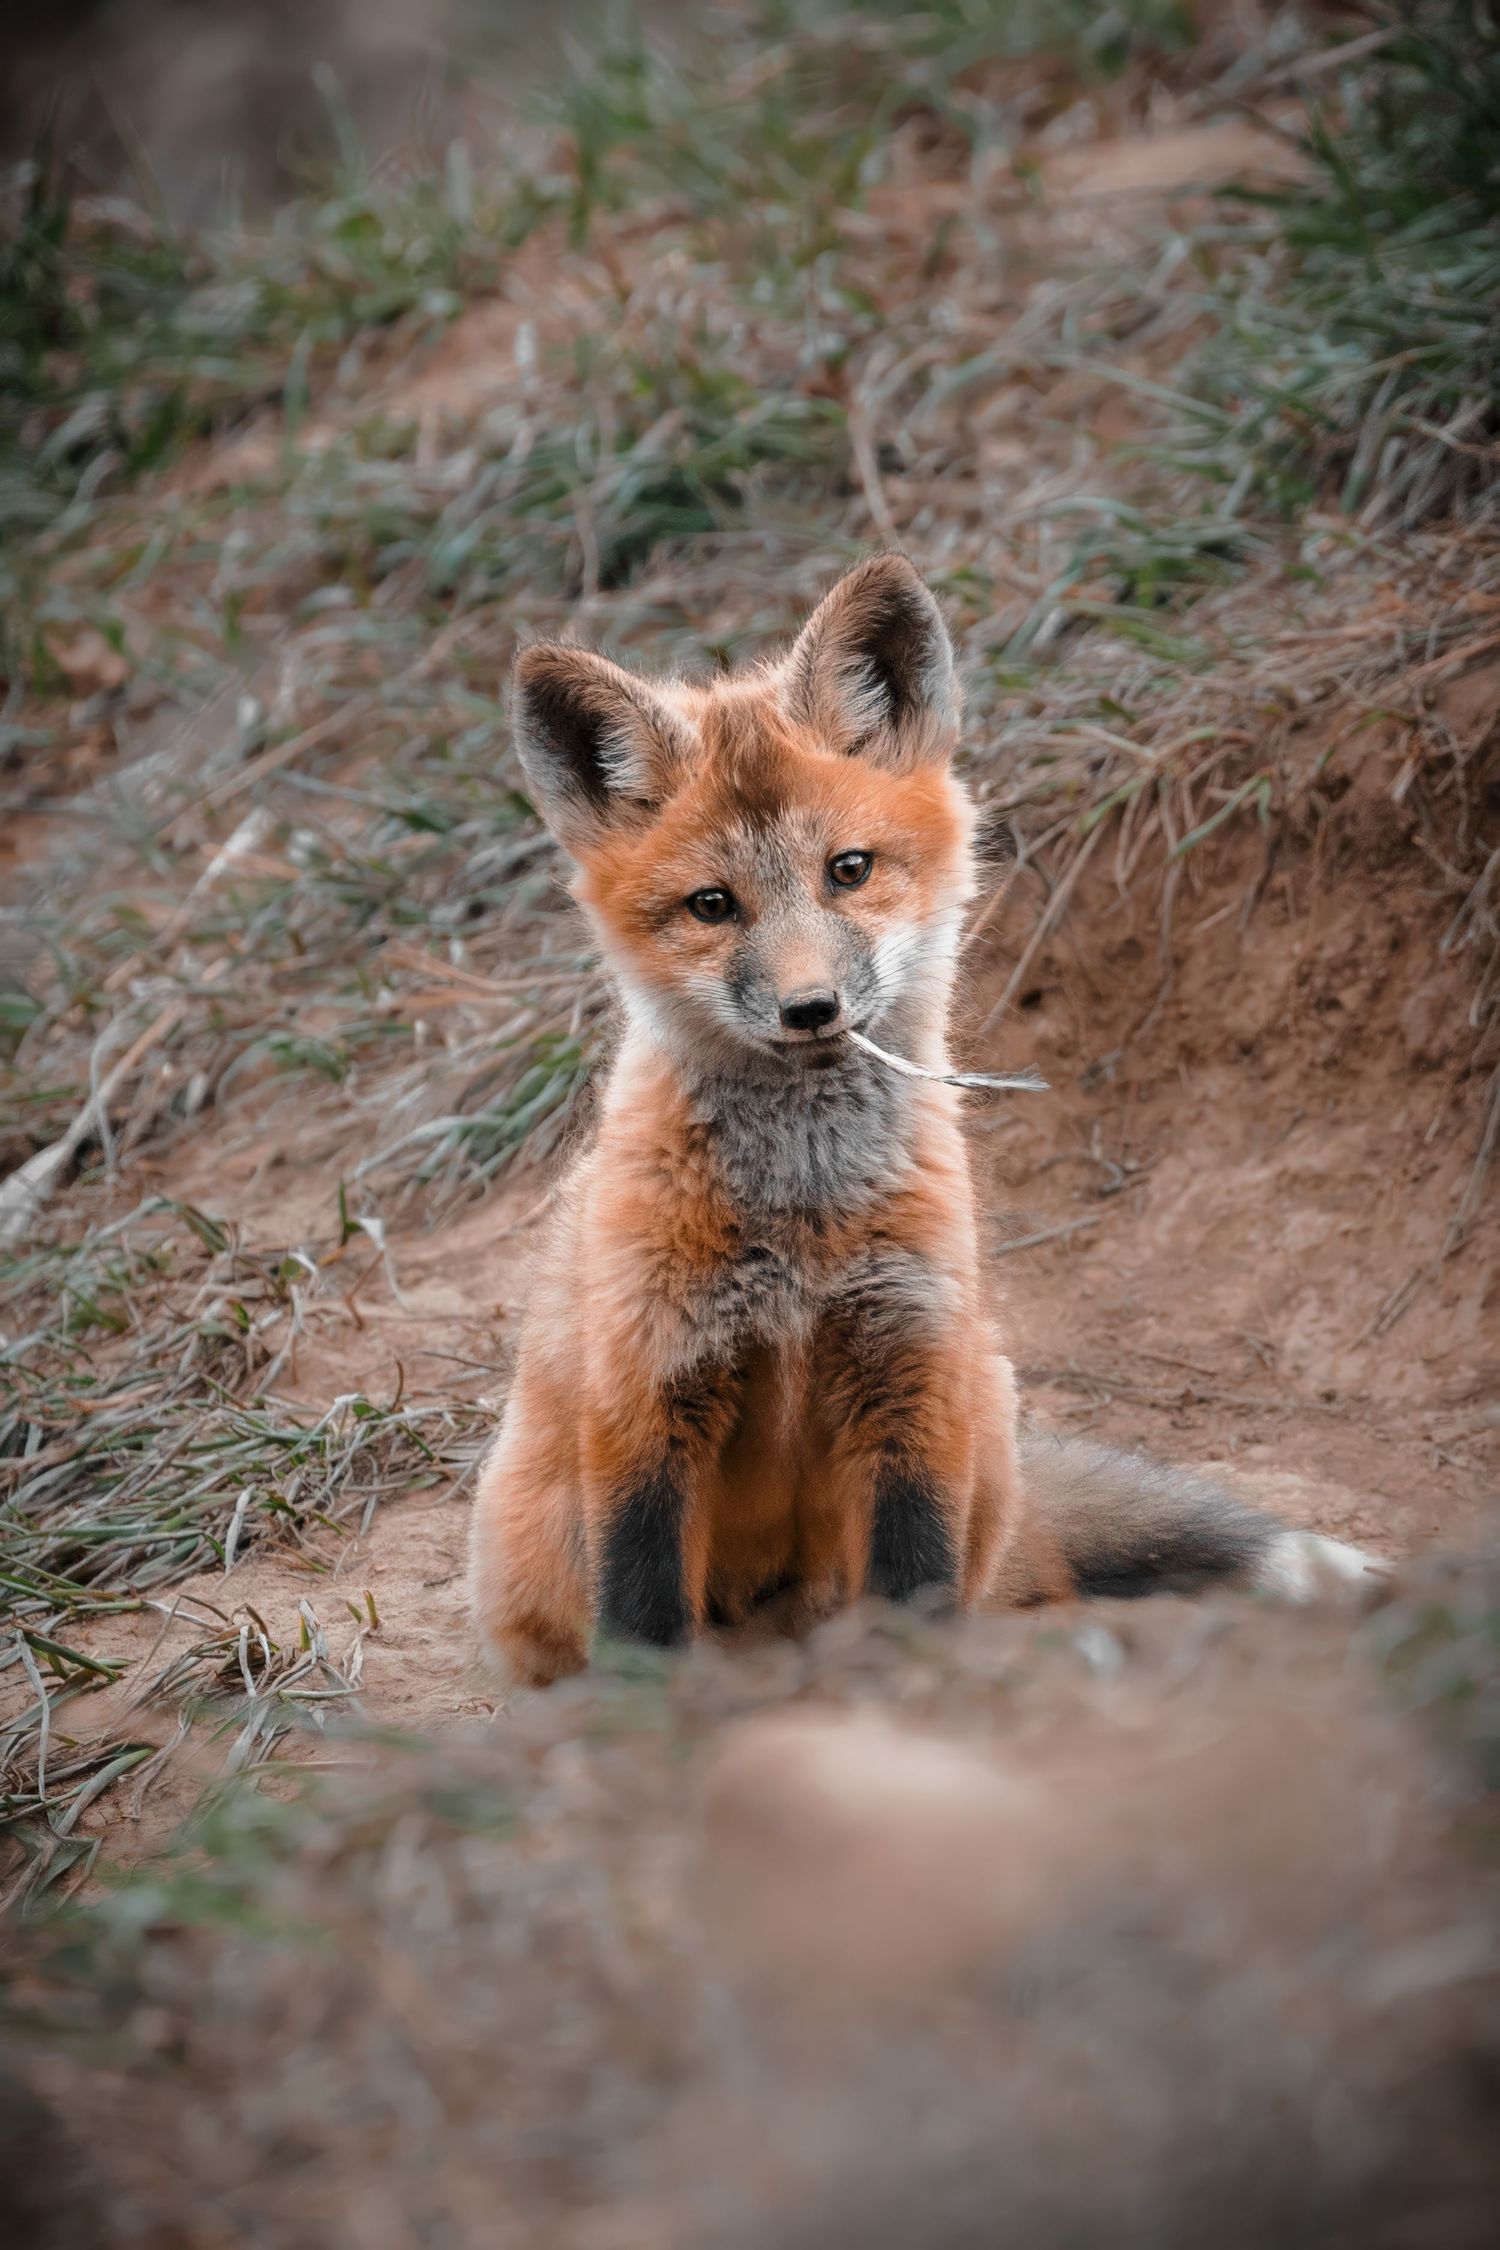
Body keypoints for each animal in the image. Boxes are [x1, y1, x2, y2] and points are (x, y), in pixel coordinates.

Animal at [469, 554, 1384, 1686]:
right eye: (712, 906)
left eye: (849, 870)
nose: (811, 1009)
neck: (801, 1227)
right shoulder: (646, 1389)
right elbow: (640, 1612)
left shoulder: (913, 1370)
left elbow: (919, 1581)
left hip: (984, 1406)